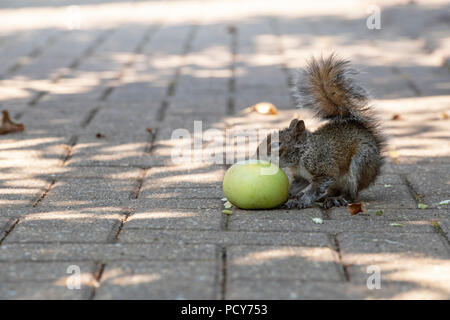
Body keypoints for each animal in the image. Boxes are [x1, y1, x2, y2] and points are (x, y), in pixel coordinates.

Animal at [258, 54, 384, 210]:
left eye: (277, 144)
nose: (256, 155)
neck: (302, 155)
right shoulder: (301, 177)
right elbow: (298, 185)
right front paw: (290, 196)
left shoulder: (324, 168)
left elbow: (316, 187)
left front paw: (301, 201)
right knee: (333, 190)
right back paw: (325, 197)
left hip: (361, 163)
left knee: (351, 194)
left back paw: (337, 199)